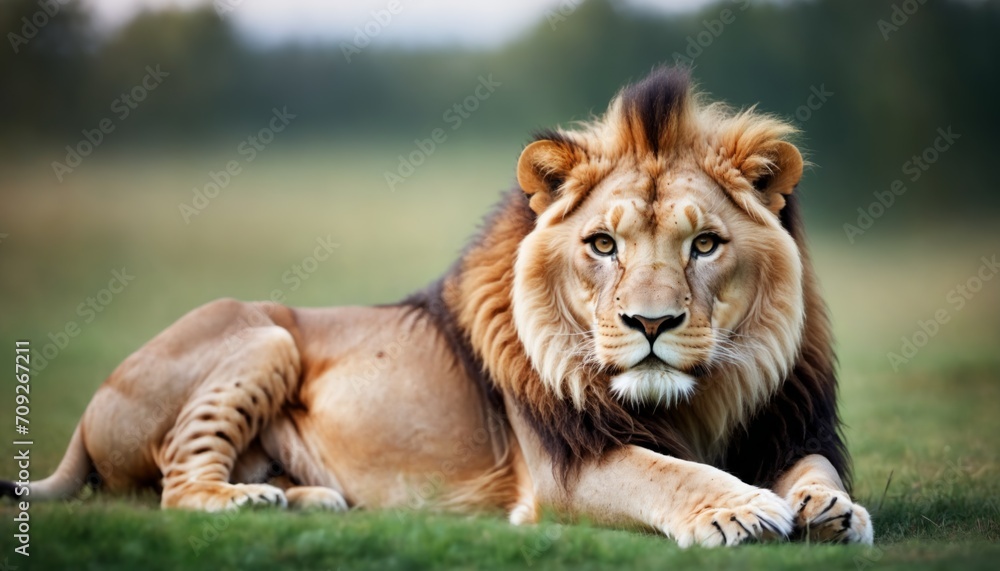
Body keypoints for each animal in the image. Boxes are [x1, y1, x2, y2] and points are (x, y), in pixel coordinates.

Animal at [3, 67, 872, 546]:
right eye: (602, 244)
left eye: (705, 244)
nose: (650, 326)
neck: (699, 398)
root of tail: (88, 412)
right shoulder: (564, 470)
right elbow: (664, 471)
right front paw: (740, 508)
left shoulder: (789, 419)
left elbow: (815, 465)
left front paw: (832, 507)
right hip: (262, 333)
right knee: (177, 487)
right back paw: (248, 498)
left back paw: (303, 497)